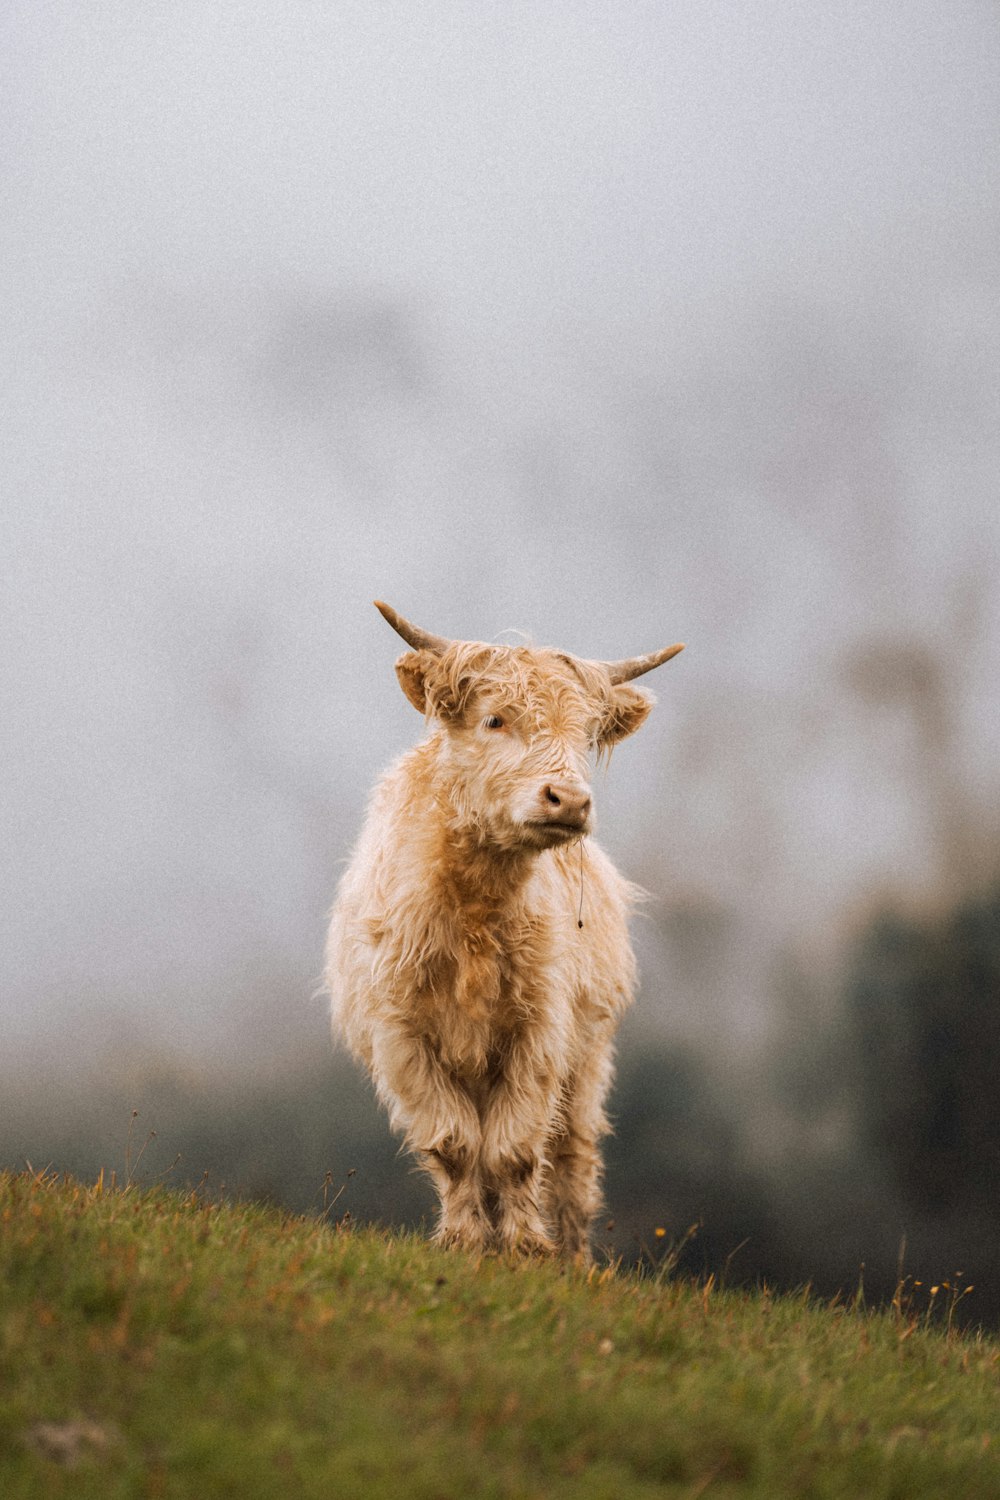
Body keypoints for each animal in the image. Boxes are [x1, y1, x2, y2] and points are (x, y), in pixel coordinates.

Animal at [325, 603, 683, 1260]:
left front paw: (523, 1247)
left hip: (588, 1060)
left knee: (571, 1160)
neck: (475, 906)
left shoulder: (541, 1031)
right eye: (495, 719)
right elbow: (455, 1143)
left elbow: (514, 1149)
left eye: (586, 735)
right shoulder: (401, 1035)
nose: (568, 801)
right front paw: (466, 1241)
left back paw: (571, 1256)